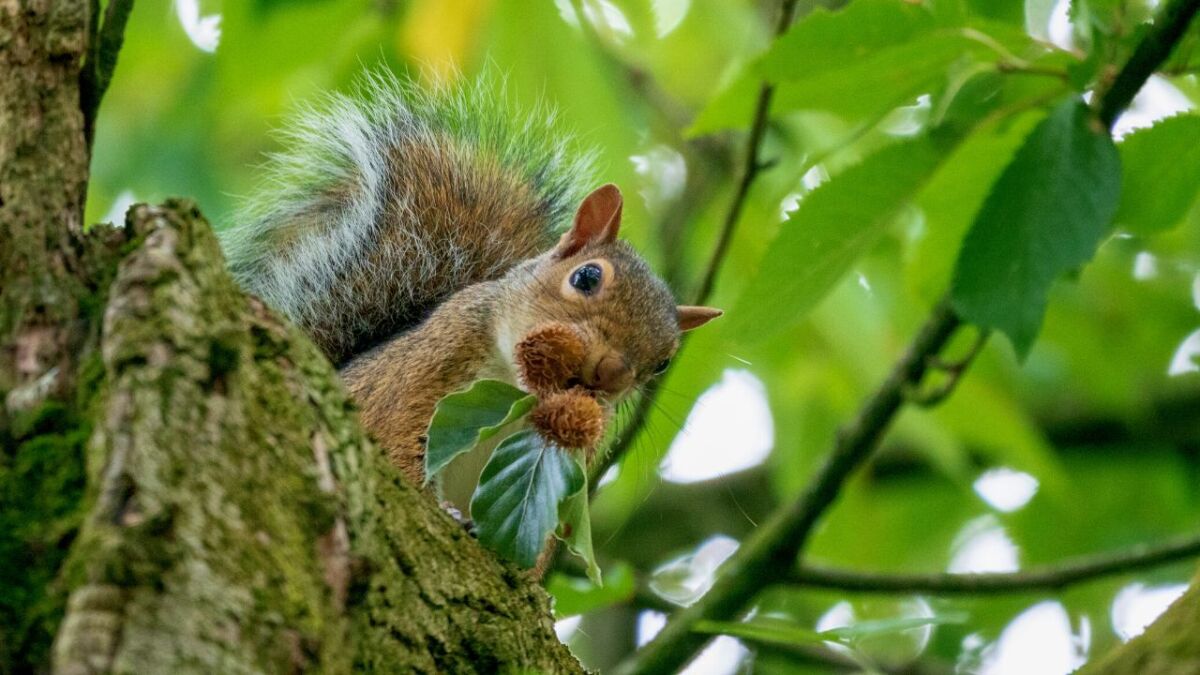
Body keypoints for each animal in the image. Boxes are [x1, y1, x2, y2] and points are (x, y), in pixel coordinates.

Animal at [218, 73, 720, 502]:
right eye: (586, 277)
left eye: (664, 362)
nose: (611, 372)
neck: (515, 390)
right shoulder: (426, 369)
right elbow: (401, 441)